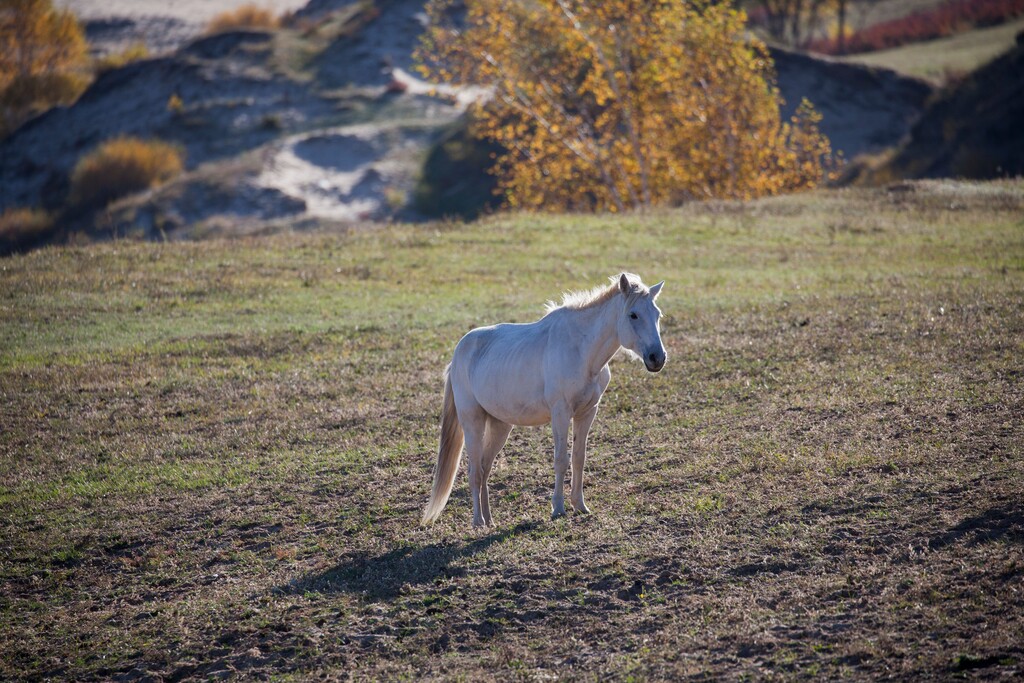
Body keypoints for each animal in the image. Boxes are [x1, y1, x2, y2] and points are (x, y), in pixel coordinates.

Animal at [421, 272, 667, 528]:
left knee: (485, 467)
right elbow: (561, 459)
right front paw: (558, 508)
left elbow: (579, 457)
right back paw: (478, 521)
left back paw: (490, 521)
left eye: (657, 314)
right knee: (474, 471)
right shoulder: (561, 413)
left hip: (500, 425)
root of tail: (458, 354)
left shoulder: (587, 412)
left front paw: (580, 505)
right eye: (633, 314)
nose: (657, 358)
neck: (581, 350)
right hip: (472, 422)